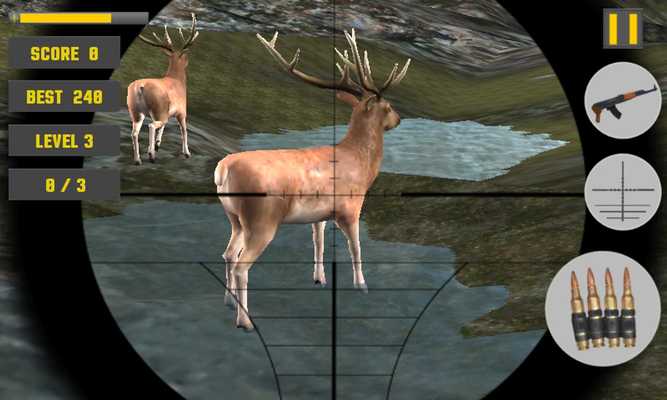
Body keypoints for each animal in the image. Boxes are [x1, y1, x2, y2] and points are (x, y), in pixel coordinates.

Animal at [126, 13, 200, 165]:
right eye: (184, 57)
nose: (188, 60)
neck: (177, 79)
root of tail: (140, 87)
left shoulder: (167, 111)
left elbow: (163, 129)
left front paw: (157, 144)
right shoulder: (182, 110)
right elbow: (184, 130)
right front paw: (187, 153)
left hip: (136, 111)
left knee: (135, 132)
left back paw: (138, 159)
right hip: (158, 109)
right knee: (151, 126)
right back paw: (152, 157)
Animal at [214, 29, 410, 331]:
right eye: (387, 107)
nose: (399, 118)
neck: (361, 163)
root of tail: (223, 169)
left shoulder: (320, 213)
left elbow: (318, 241)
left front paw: (320, 278)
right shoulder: (350, 207)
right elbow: (356, 248)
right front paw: (362, 285)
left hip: (235, 218)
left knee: (228, 253)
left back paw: (228, 302)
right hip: (262, 220)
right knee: (241, 265)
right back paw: (245, 321)